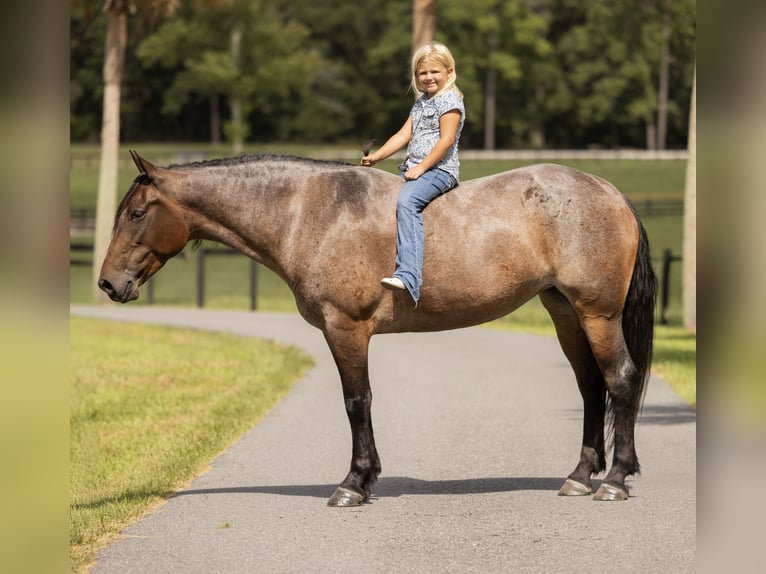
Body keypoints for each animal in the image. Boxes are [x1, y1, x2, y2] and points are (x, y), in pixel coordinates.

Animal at [98, 150, 656, 506]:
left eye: (138, 213)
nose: (107, 283)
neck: (309, 212)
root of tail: (612, 194)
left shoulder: (345, 329)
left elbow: (356, 402)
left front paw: (355, 483)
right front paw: (364, 480)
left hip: (597, 314)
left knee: (621, 380)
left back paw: (615, 479)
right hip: (566, 313)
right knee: (591, 387)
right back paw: (580, 476)